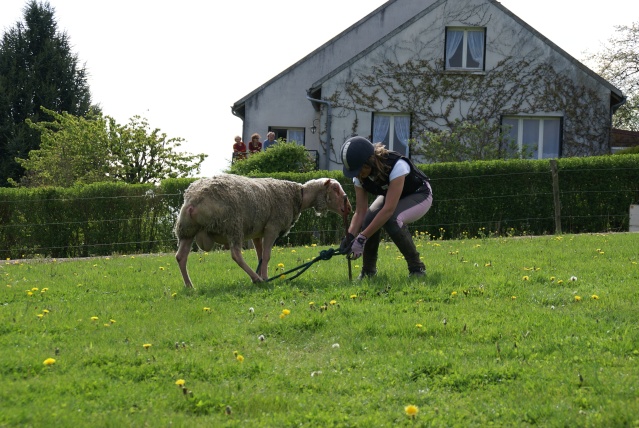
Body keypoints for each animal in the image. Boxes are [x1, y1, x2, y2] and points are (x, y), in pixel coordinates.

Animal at [174, 174, 350, 288]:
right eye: (335, 188)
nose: (348, 207)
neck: (298, 197)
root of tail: (193, 201)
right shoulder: (272, 227)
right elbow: (266, 256)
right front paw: (265, 278)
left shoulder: (257, 232)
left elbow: (260, 256)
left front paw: (262, 274)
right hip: (232, 225)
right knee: (236, 254)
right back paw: (256, 278)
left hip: (186, 229)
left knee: (180, 257)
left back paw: (189, 286)